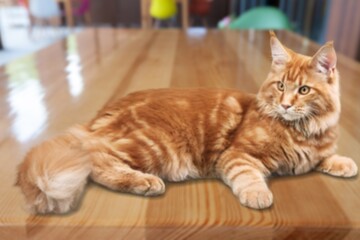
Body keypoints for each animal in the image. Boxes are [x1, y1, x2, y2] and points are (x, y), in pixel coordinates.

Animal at [16, 31, 358, 214]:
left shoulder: (314, 151)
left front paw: (344, 163)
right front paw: (258, 195)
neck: (303, 132)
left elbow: (325, 157)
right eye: (281, 86)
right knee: (96, 161)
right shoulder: (237, 155)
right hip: (155, 145)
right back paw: (146, 182)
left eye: (303, 90)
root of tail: (98, 117)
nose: (286, 105)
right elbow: (248, 176)